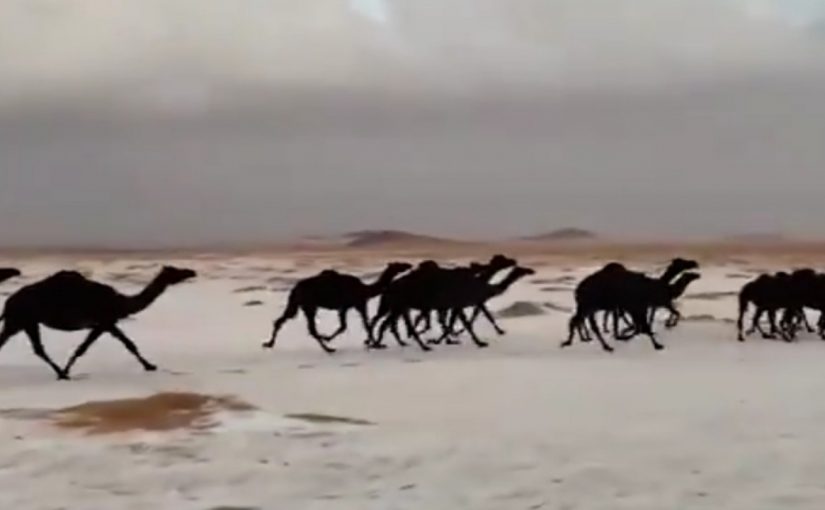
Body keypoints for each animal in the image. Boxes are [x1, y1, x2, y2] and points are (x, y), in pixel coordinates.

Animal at [0, 266, 196, 380]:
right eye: (176, 271)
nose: (191, 272)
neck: (121, 302)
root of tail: (8, 302)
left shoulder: (107, 323)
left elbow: (126, 344)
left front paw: (150, 366)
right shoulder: (104, 322)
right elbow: (86, 348)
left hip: (23, 322)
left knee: (32, 347)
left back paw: (60, 372)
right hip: (22, 319)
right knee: (35, 348)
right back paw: (61, 373)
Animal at [263, 261, 412, 353]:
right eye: (398, 264)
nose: (408, 265)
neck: (365, 289)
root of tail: (295, 288)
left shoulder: (345, 307)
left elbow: (344, 326)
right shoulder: (358, 304)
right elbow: (365, 324)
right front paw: (376, 344)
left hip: (297, 304)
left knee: (282, 320)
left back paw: (269, 343)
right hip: (309, 304)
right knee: (311, 329)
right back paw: (329, 349)